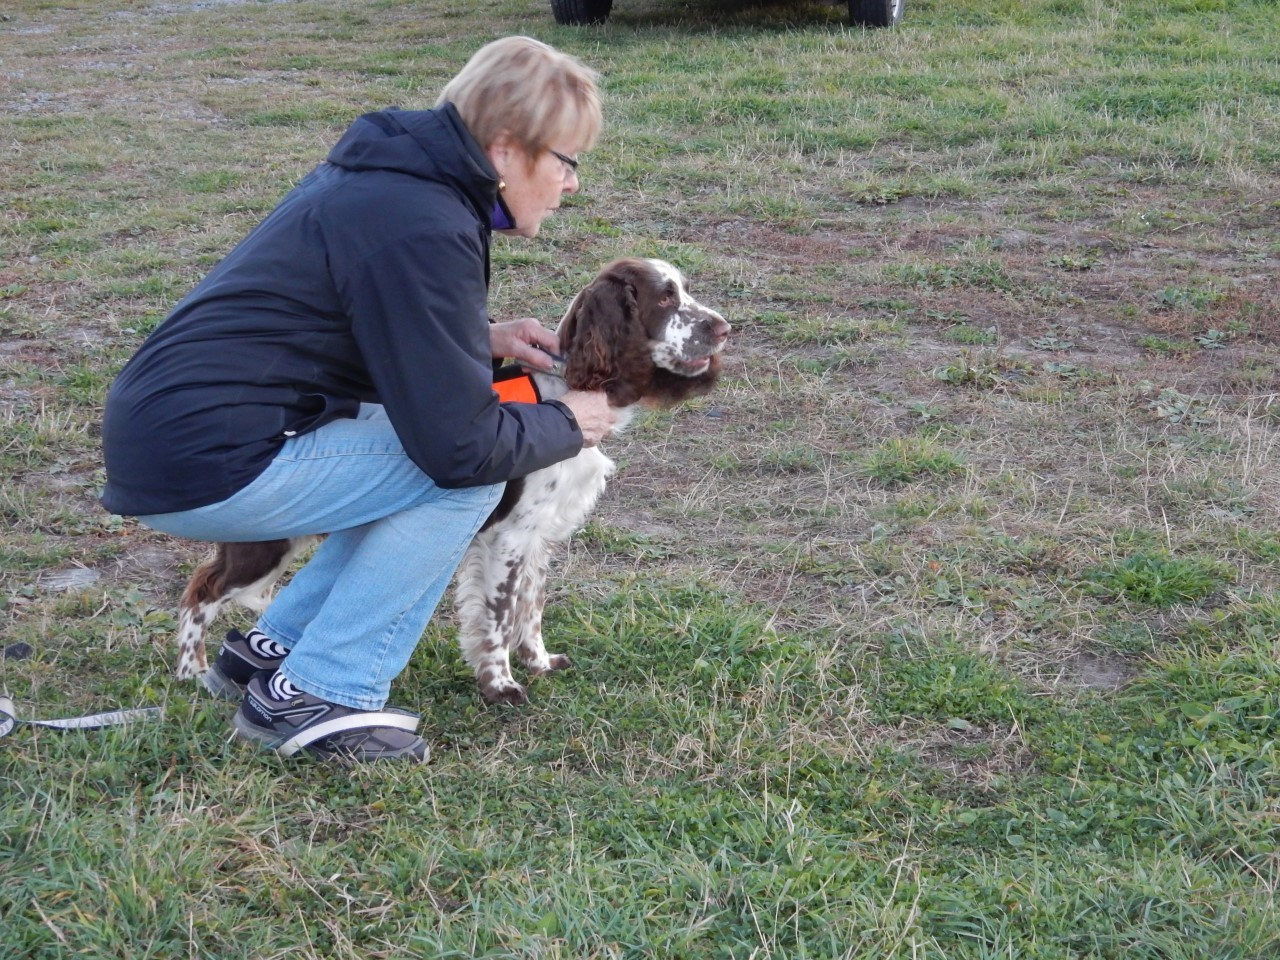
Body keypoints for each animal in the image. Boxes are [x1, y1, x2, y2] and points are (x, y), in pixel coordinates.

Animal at [172, 259, 732, 701]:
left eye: (685, 289)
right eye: (666, 297)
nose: (725, 328)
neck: (565, 391)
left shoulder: (539, 539)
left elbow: (531, 607)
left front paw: (539, 663)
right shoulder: (507, 539)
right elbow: (500, 616)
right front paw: (501, 685)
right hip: (268, 536)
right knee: (203, 588)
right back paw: (191, 673)